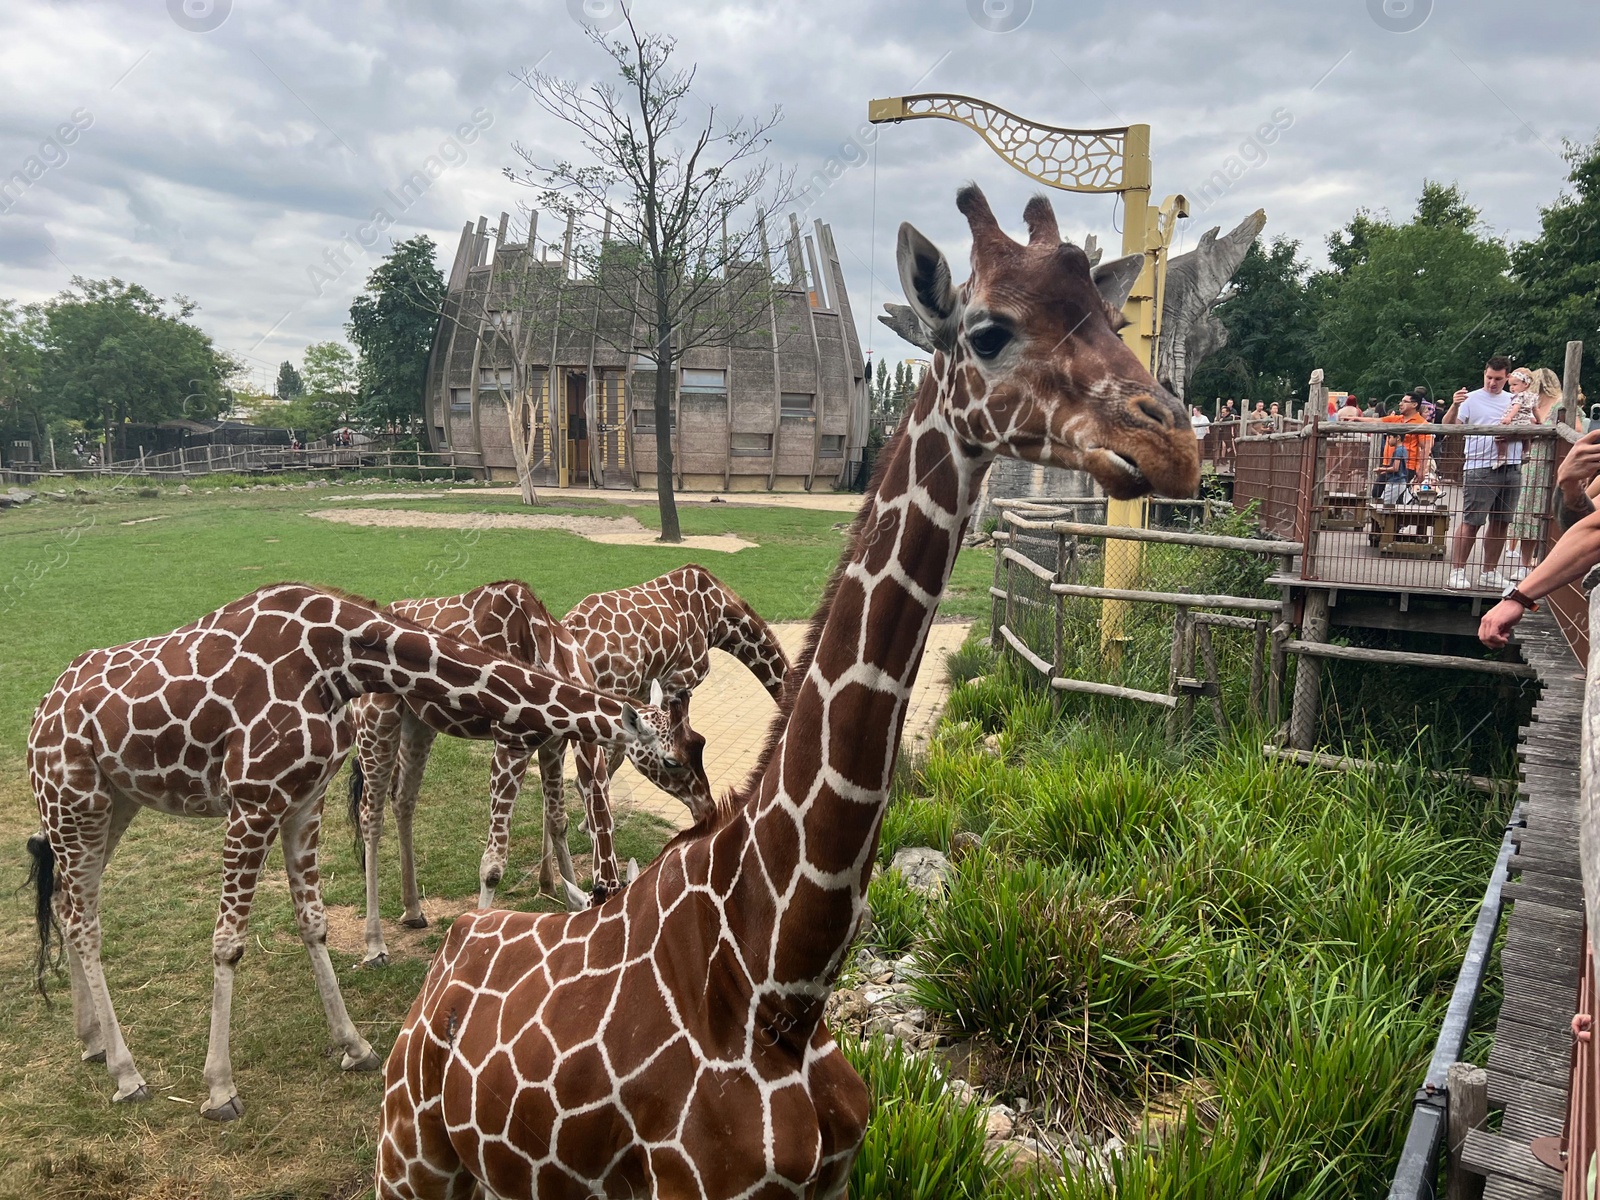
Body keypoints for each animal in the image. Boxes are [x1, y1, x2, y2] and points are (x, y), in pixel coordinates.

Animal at [353, 576, 732, 966]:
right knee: (370, 813)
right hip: (376, 715)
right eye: (672, 761)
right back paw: (375, 945)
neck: (550, 655)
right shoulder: (511, 745)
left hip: (419, 721)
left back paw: (413, 911)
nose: (706, 807)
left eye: (700, 743)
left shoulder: (555, 743)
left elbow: (558, 822)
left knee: (404, 799)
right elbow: (492, 866)